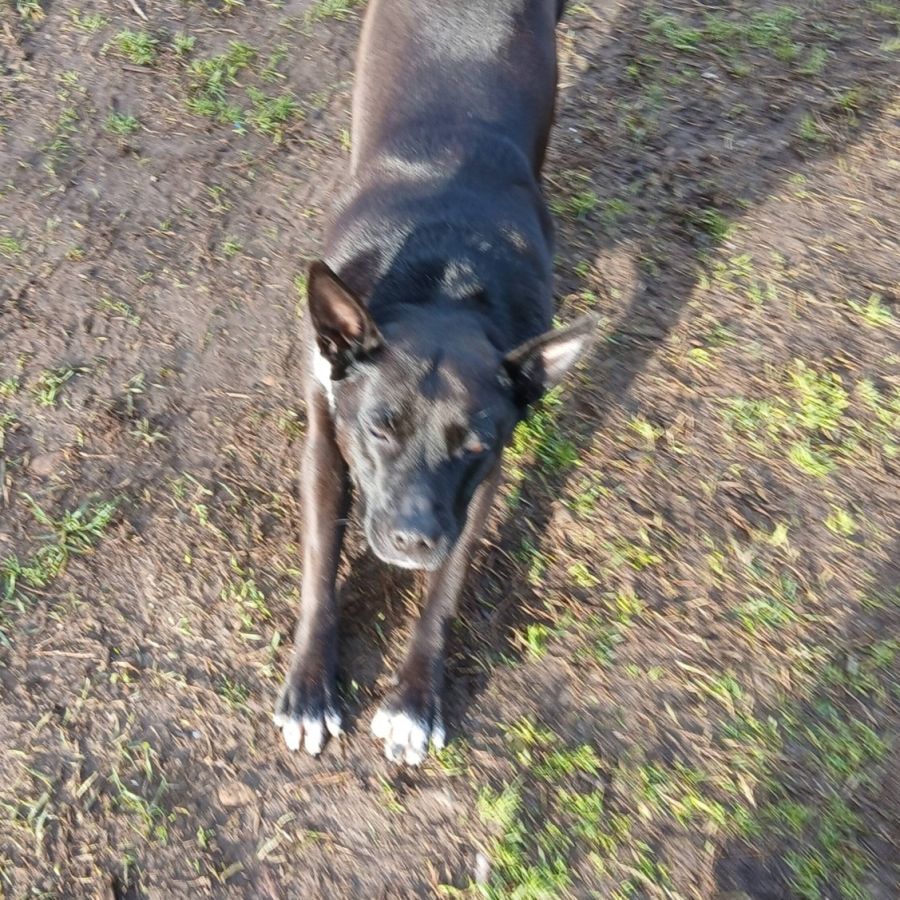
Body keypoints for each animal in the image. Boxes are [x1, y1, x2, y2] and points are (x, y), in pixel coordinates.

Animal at [274, 0, 597, 765]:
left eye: (473, 445)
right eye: (378, 427)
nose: (414, 540)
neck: (443, 280)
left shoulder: (479, 487)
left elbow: (446, 591)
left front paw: (415, 701)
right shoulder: (324, 439)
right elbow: (318, 570)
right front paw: (309, 688)